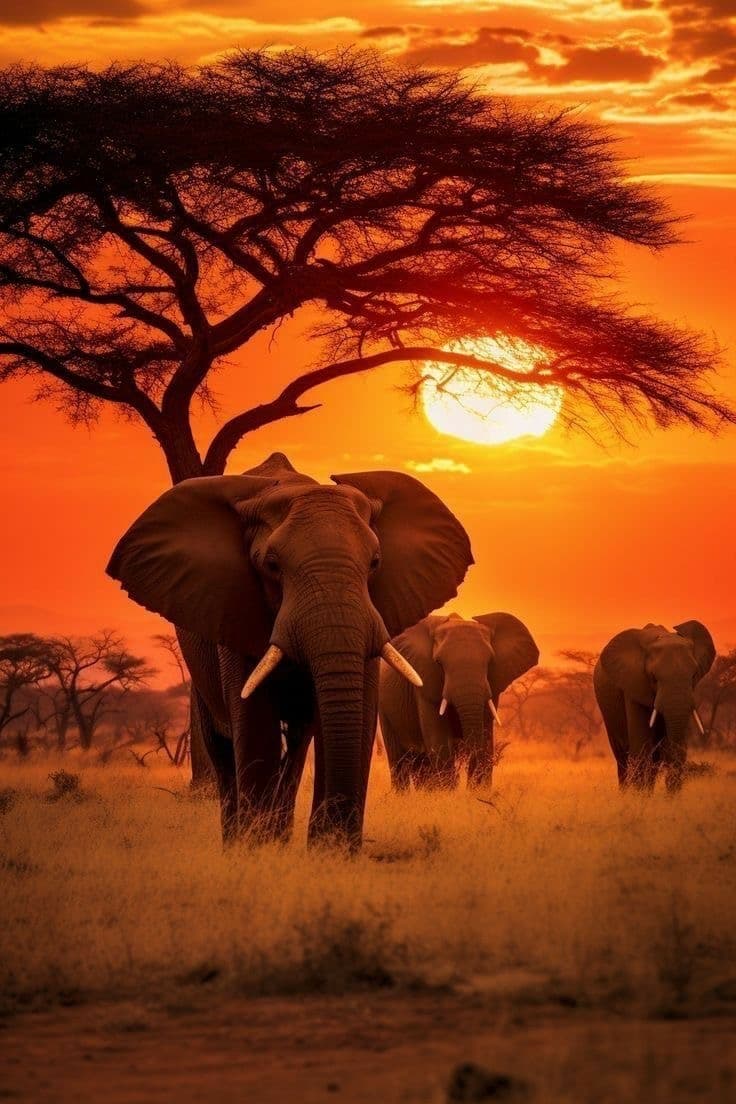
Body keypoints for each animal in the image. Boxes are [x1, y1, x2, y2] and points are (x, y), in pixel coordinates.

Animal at [107, 452, 472, 847]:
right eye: (272, 565)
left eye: (375, 562)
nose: (335, 842)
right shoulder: (234, 608)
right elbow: (254, 722)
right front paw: (258, 849)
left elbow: (356, 713)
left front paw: (330, 851)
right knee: (224, 749)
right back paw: (239, 839)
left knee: (296, 745)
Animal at [379, 612, 539, 790]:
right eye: (439, 662)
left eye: (490, 661)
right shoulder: (425, 683)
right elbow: (439, 742)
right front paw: (447, 793)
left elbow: (485, 739)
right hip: (385, 709)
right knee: (399, 762)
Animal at [593, 621, 715, 792]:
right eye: (653, 677)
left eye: (693, 676)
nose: (671, 795)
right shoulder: (633, 683)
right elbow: (641, 745)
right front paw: (639, 796)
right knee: (622, 756)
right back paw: (625, 793)